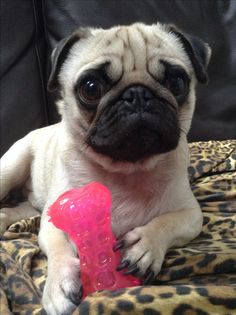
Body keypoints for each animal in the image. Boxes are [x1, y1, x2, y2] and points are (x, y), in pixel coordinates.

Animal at [0, 22, 210, 315]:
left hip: (30, 205)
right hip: (11, 167)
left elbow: (167, 221)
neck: (126, 170)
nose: (137, 94)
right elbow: (59, 248)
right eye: (90, 88)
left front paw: (145, 245)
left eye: (177, 82)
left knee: (15, 210)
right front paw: (59, 285)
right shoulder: (53, 221)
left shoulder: (191, 215)